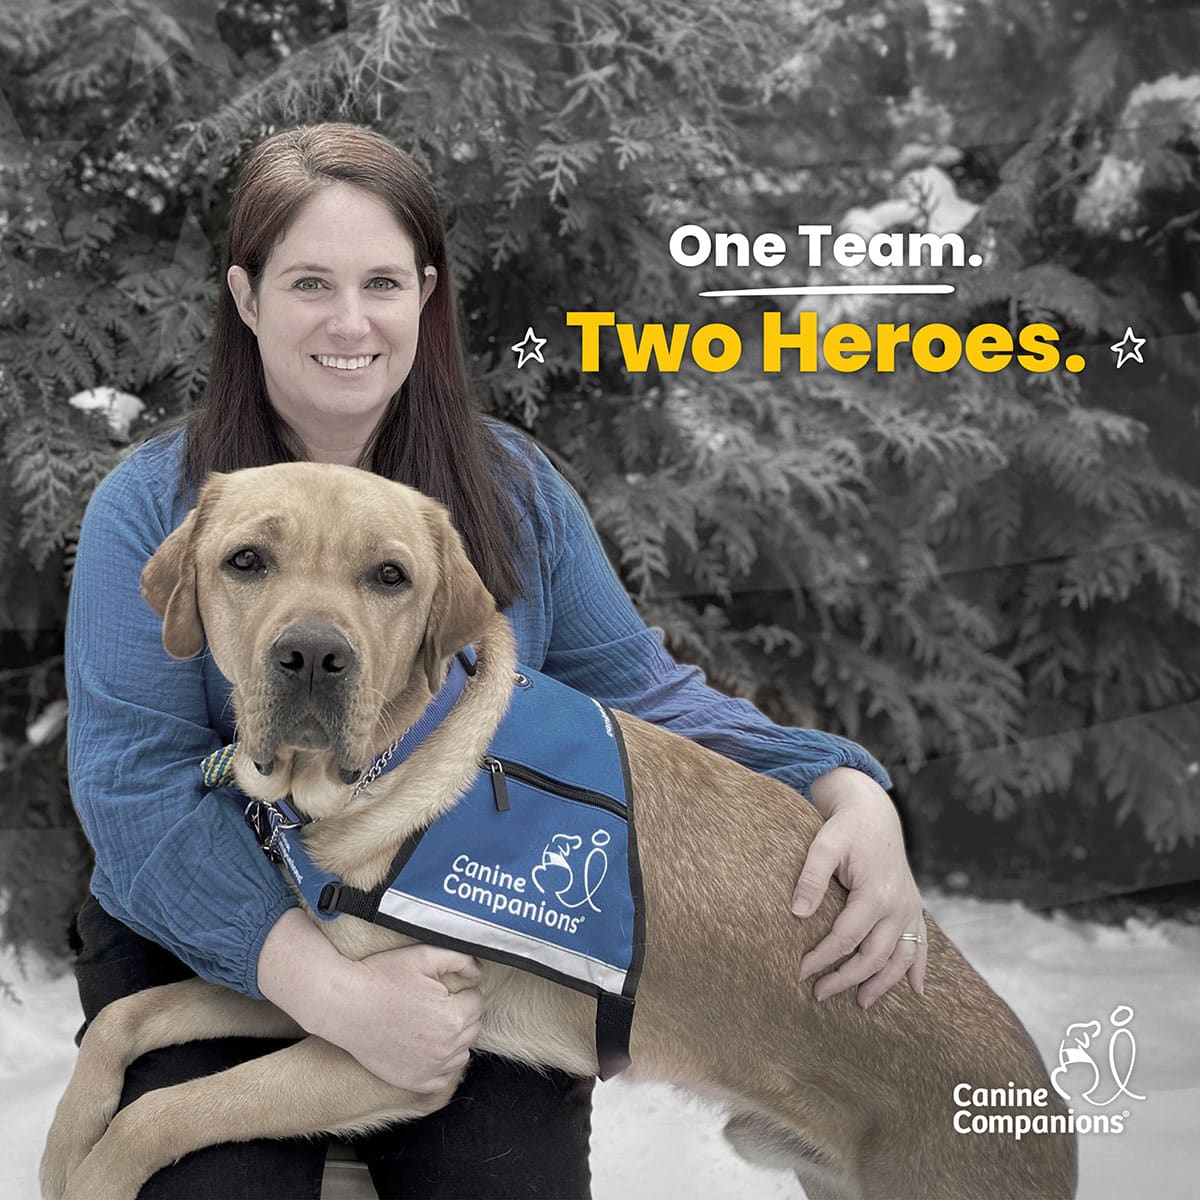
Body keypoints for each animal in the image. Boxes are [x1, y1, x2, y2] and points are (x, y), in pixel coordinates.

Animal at [44, 460, 1080, 1200]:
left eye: (390, 577)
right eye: (246, 562)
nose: (311, 656)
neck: (399, 758)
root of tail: (1045, 1105)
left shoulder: (402, 1057)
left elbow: (168, 1113)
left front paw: (91, 1174)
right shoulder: (328, 990)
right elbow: (128, 1020)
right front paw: (61, 1148)